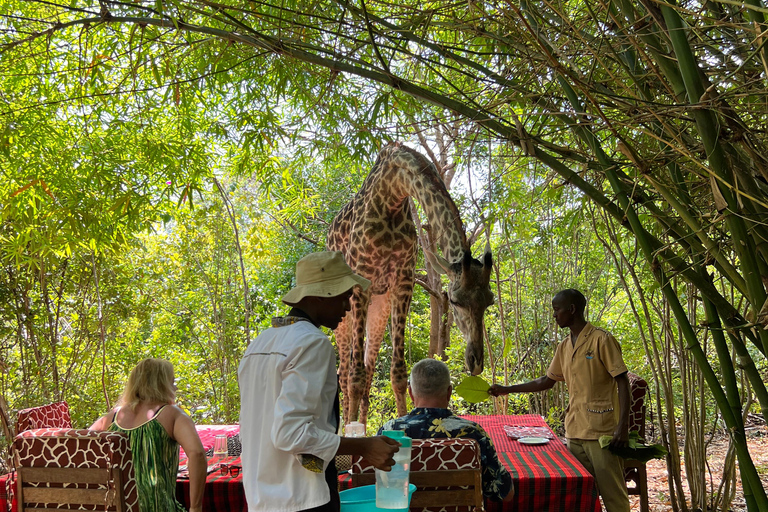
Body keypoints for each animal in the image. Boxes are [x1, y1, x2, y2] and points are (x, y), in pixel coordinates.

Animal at [328, 141, 496, 424]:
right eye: (455, 301)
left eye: (489, 302)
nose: (475, 362)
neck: (391, 194)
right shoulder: (361, 283)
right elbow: (354, 377)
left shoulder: (403, 282)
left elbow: (397, 373)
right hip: (344, 314)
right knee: (344, 373)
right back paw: (345, 427)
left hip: (379, 307)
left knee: (369, 369)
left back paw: (361, 425)